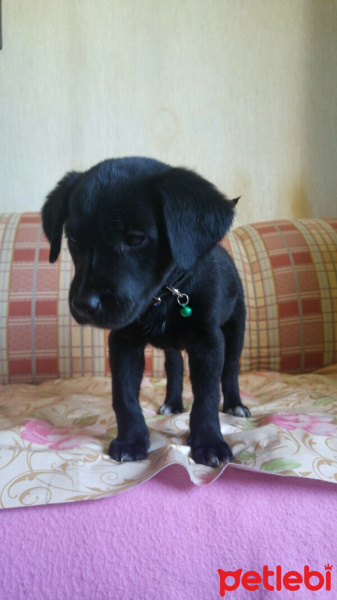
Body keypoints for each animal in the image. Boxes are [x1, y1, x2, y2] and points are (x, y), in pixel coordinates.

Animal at [42, 157, 249, 466]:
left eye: (135, 239)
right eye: (74, 239)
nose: (84, 305)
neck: (166, 294)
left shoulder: (208, 342)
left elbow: (207, 396)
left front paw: (210, 442)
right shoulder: (123, 342)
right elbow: (124, 397)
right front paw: (131, 440)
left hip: (236, 329)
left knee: (231, 370)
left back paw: (235, 405)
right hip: (174, 346)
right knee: (174, 367)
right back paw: (172, 402)